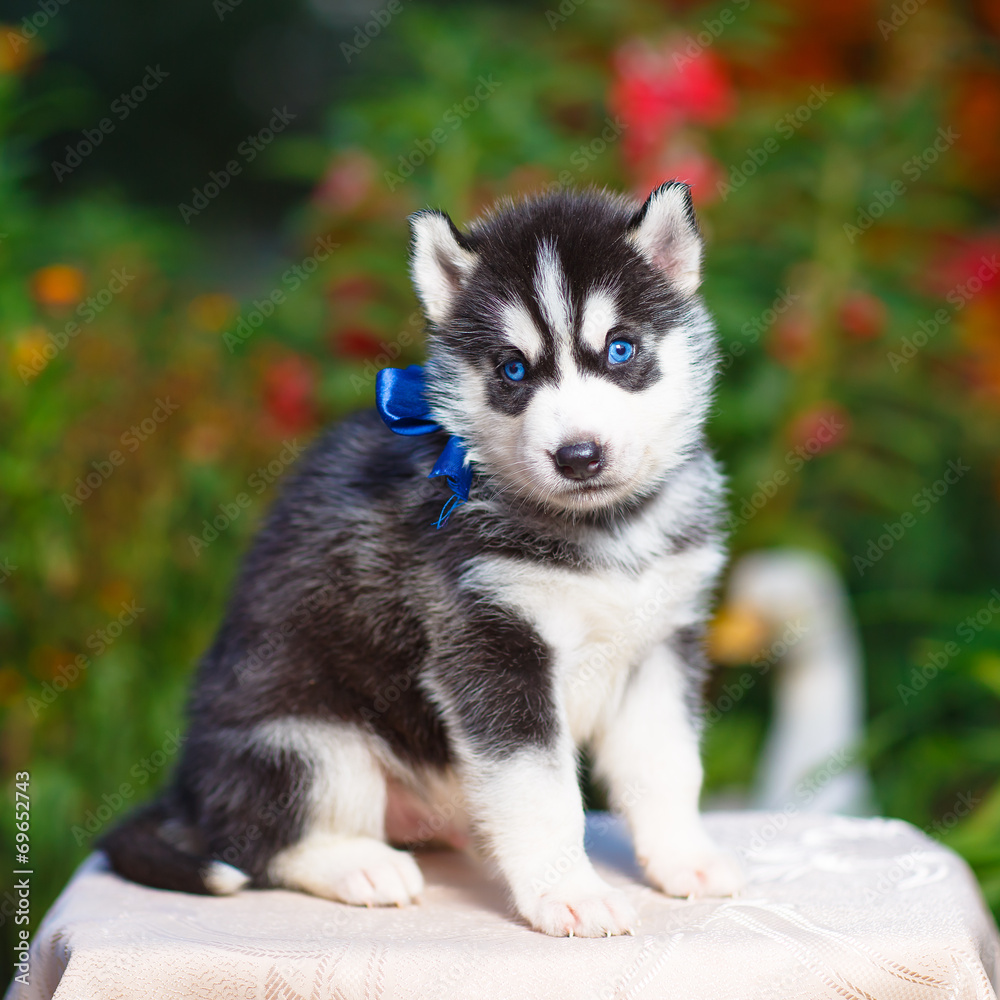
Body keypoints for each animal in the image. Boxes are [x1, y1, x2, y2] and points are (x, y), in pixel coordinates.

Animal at [101, 182, 744, 936]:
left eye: (620, 349)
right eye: (512, 369)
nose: (578, 456)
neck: (602, 531)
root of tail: (188, 795)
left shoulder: (660, 645)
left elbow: (666, 767)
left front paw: (684, 860)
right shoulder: (492, 648)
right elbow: (542, 791)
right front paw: (569, 893)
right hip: (308, 742)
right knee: (257, 845)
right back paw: (358, 864)